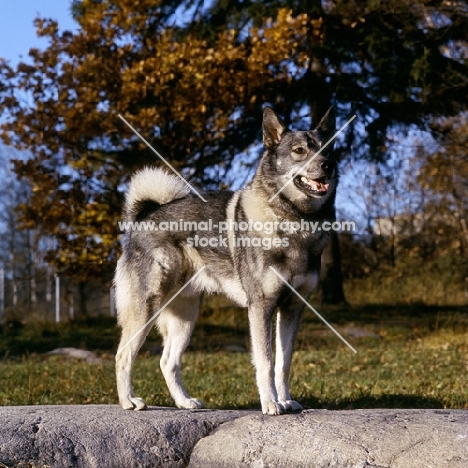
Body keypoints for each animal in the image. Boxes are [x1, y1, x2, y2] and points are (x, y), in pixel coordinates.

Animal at [115, 105, 338, 414]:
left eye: (328, 150)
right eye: (299, 150)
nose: (328, 166)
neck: (295, 220)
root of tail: (143, 217)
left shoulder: (292, 308)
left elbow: (284, 363)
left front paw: (285, 400)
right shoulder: (261, 307)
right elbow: (266, 362)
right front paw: (271, 404)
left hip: (185, 318)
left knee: (167, 361)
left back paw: (184, 402)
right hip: (145, 311)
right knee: (123, 355)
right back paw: (128, 401)